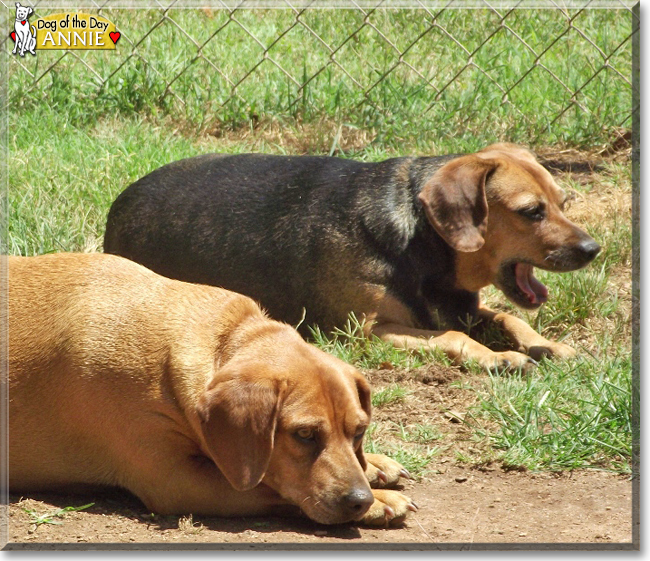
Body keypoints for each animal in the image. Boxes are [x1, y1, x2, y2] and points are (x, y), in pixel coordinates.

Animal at [7, 253, 416, 524]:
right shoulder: (177, 480)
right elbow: (266, 483)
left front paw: (373, 464)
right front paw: (381, 501)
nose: (359, 500)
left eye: (359, 431)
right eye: (303, 435)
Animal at [105, 143, 596, 372]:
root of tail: (120, 203)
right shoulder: (369, 331)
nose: (593, 250)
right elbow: (453, 337)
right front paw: (500, 358)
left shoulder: (464, 308)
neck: (420, 242)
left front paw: (550, 345)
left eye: (563, 202)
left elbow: (512, 319)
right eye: (530, 212)